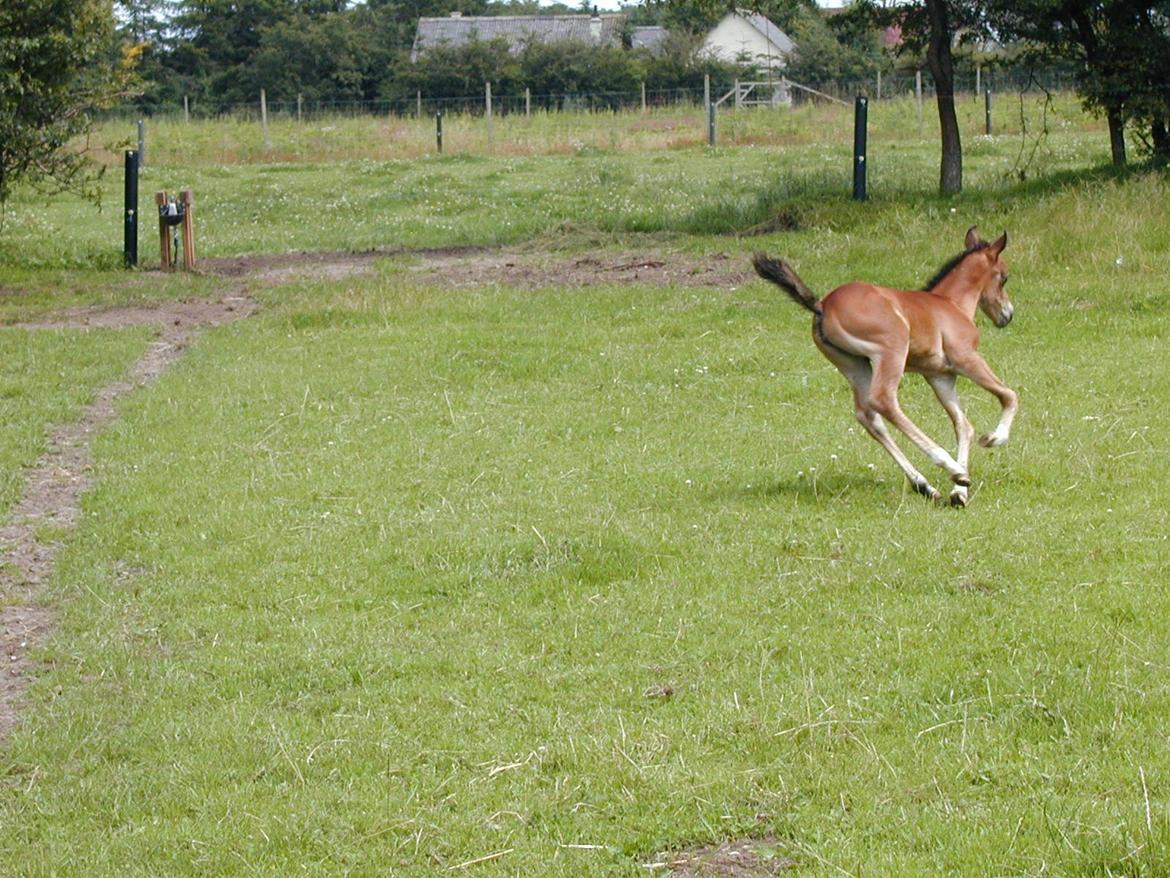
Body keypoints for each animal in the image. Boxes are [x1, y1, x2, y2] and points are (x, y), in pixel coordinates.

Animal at [758, 228, 1015, 508]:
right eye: (1004, 277)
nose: (1007, 315)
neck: (950, 303)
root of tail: (822, 305)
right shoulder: (967, 358)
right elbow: (1008, 396)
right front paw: (993, 440)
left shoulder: (940, 376)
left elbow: (963, 426)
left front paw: (959, 492)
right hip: (892, 350)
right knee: (883, 401)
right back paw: (948, 466)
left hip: (853, 363)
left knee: (868, 416)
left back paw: (926, 485)